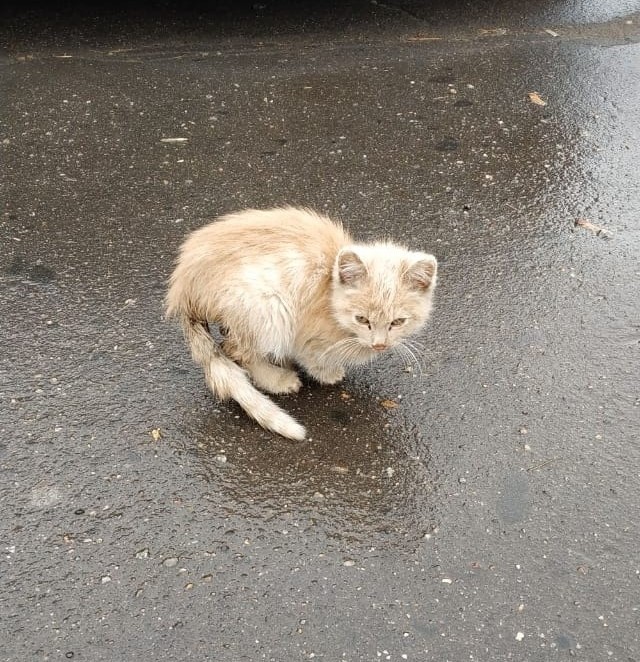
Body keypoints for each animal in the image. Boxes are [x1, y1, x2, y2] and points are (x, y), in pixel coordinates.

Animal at [164, 208, 440, 444]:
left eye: (397, 322)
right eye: (362, 319)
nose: (380, 344)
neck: (330, 290)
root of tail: (183, 287)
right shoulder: (304, 330)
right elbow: (311, 355)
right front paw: (326, 373)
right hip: (266, 303)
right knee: (236, 349)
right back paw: (277, 379)